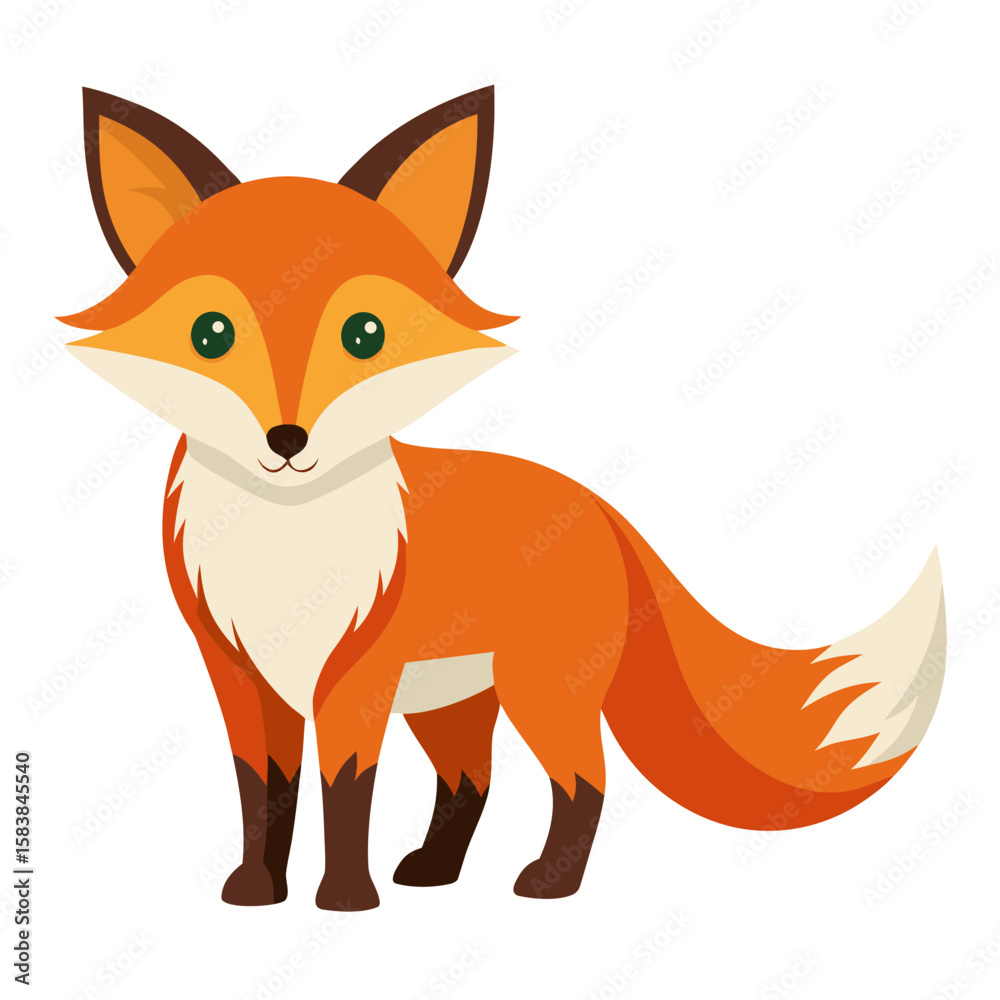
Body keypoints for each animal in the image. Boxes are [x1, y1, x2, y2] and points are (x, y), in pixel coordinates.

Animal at [61, 87, 947, 909]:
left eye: (364, 336)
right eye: (210, 334)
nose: (287, 440)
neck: (286, 546)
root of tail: (598, 507)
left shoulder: (356, 677)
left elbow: (346, 794)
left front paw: (344, 898)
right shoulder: (240, 674)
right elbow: (263, 792)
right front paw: (256, 890)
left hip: (538, 691)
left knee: (586, 781)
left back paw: (549, 883)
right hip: (452, 703)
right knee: (472, 782)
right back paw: (433, 872)